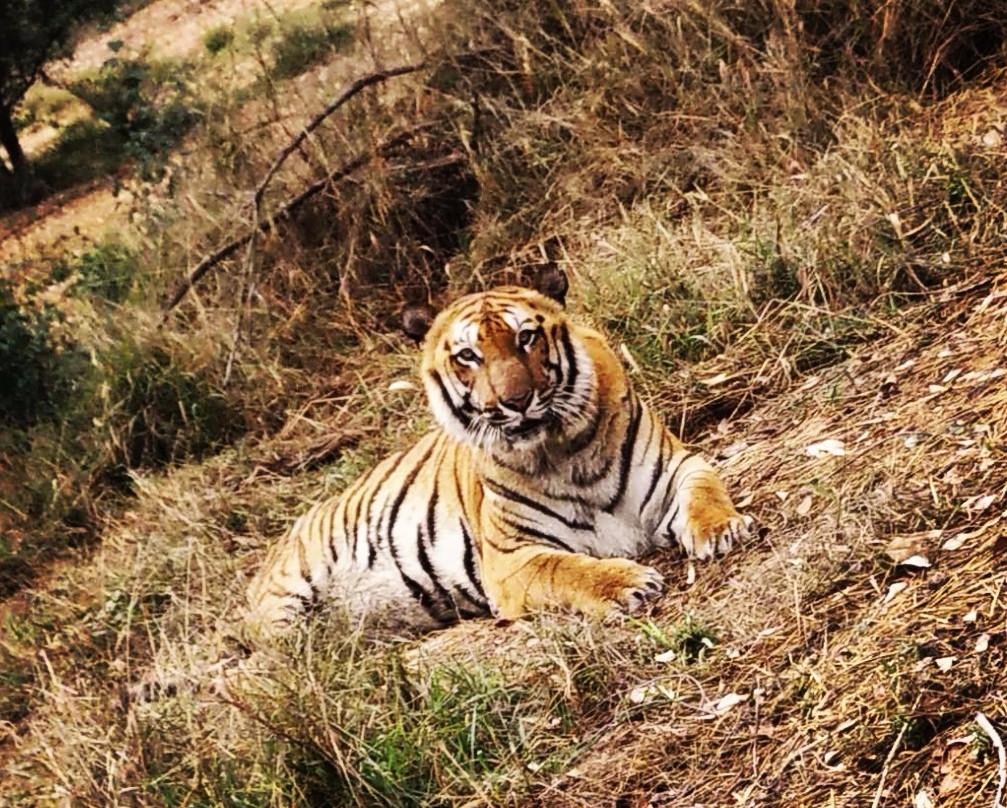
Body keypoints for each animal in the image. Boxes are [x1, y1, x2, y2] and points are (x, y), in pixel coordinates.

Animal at [245, 274, 749, 632]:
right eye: (468, 356)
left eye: (526, 338)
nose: (516, 401)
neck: (564, 452)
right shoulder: (511, 556)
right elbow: (564, 569)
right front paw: (625, 582)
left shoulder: (678, 466)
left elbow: (704, 491)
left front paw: (722, 529)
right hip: (285, 606)